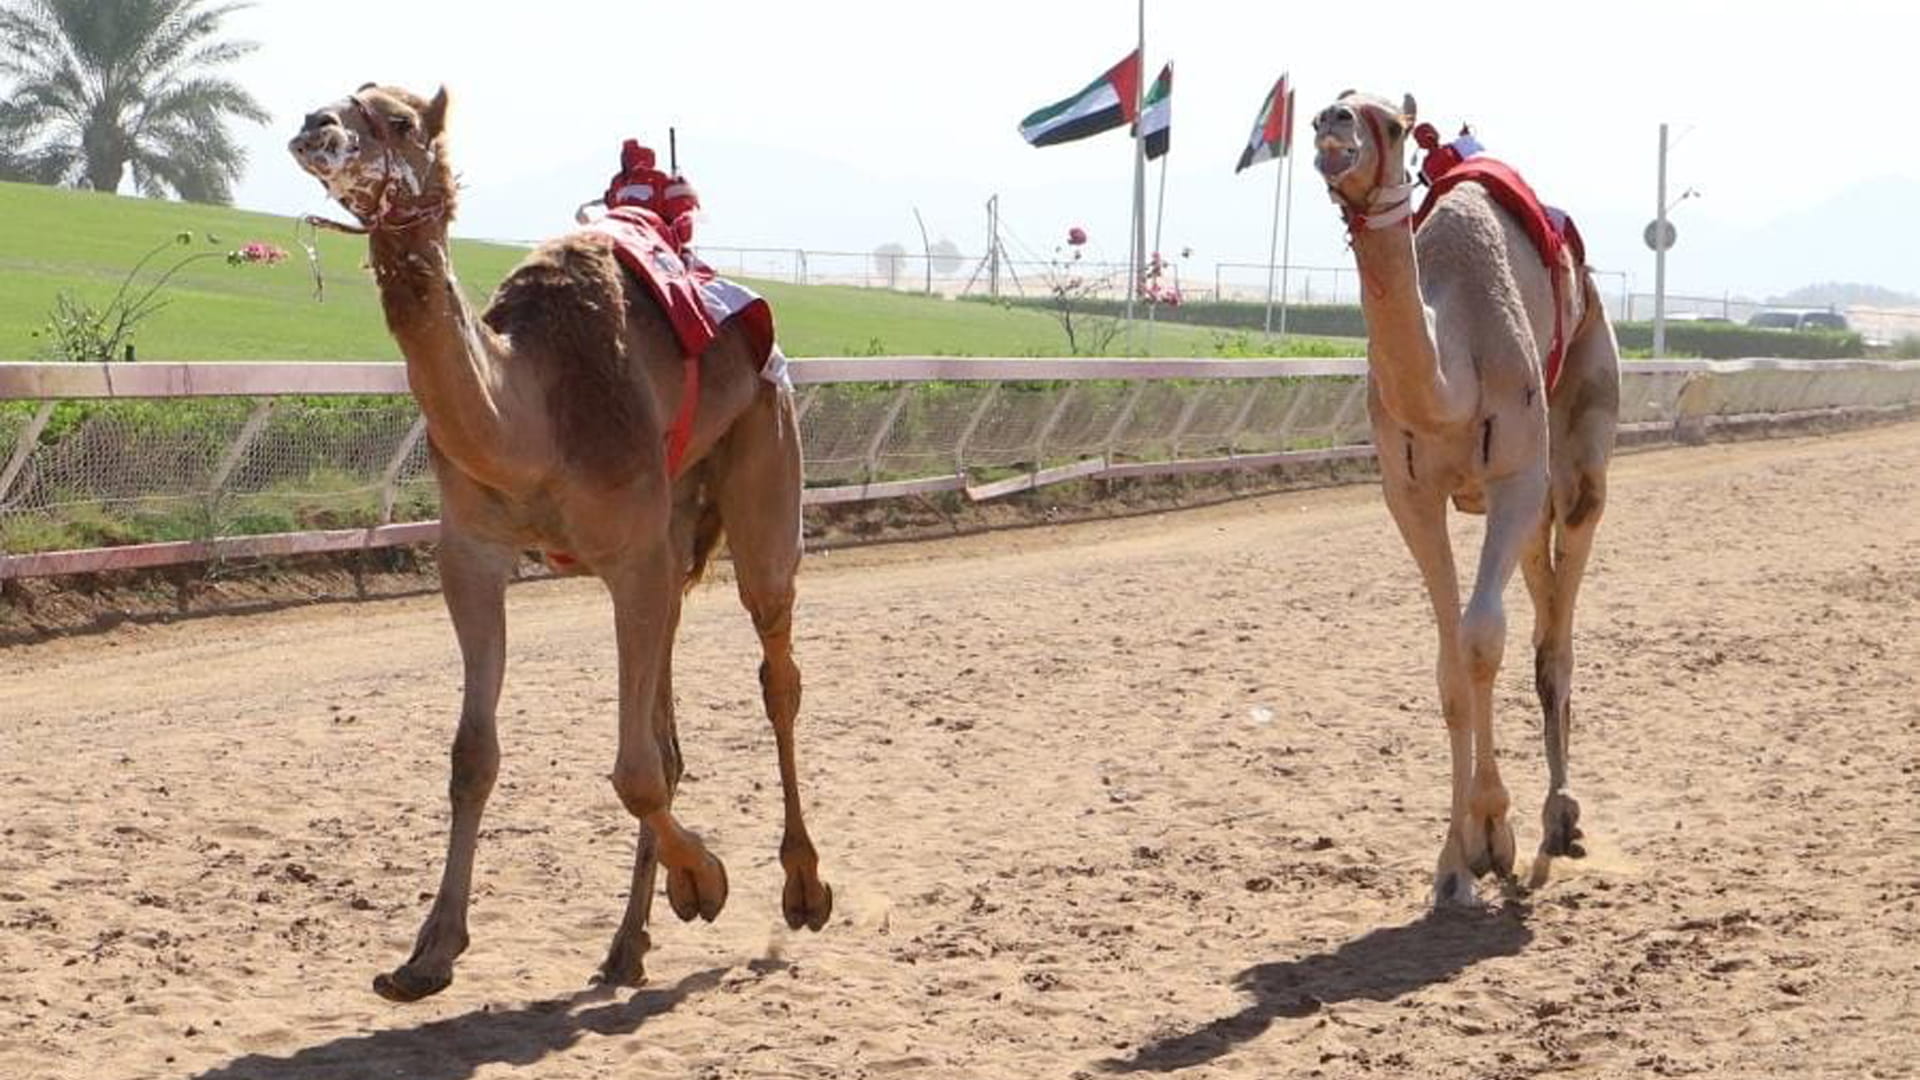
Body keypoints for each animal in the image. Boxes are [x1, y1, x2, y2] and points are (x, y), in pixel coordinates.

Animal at [286, 84, 832, 1000]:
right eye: (336, 100)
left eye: (397, 120)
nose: (312, 127)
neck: (531, 416)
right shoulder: (471, 552)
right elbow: (476, 754)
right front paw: (428, 954)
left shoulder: (629, 556)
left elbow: (636, 770)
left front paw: (707, 880)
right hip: (675, 528)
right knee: (672, 729)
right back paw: (627, 947)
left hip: (765, 450)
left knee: (776, 668)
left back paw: (802, 887)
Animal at [1310, 91, 1620, 905]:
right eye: (1328, 109)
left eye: (1388, 124)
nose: (1332, 125)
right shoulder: (1409, 495)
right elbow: (1451, 661)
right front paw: (1456, 862)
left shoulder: (1514, 475)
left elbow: (1484, 638)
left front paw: (1495, 835)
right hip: (1526, 504)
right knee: (1540, 605)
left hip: (1580, 440)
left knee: (1556, 631)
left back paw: (1561, 817)